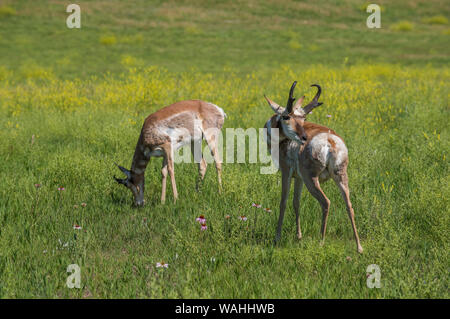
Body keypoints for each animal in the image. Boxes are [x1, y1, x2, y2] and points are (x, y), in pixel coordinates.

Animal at [264, 81, 362, 254]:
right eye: (287, 116)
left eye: (303, 118)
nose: (303, 137)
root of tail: (330, 140)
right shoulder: (299, 178)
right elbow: (296, 202)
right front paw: (299, 236)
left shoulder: (286, 173)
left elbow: (283, 201)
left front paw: (277, 237)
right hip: (341, 176)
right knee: (349, 206)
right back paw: (359, 247)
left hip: (312, 179)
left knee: (326, 202)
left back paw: (321, 241)